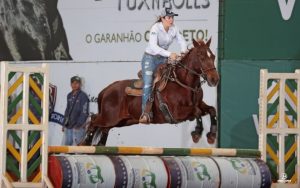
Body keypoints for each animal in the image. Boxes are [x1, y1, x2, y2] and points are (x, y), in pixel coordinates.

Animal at [81, 39, 219, 146]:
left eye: (213, 56)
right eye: (201, 56)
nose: (214, 79)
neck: (183, 83)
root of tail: (105, 91)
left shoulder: (199, 104)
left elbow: (211, 110)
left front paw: (211, 136)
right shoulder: (176, 112)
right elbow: (197, 111)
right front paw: (197, 133)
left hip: (121, 121)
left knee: (104, 129)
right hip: (109, 118)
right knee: (93, 120)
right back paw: (84, 143)